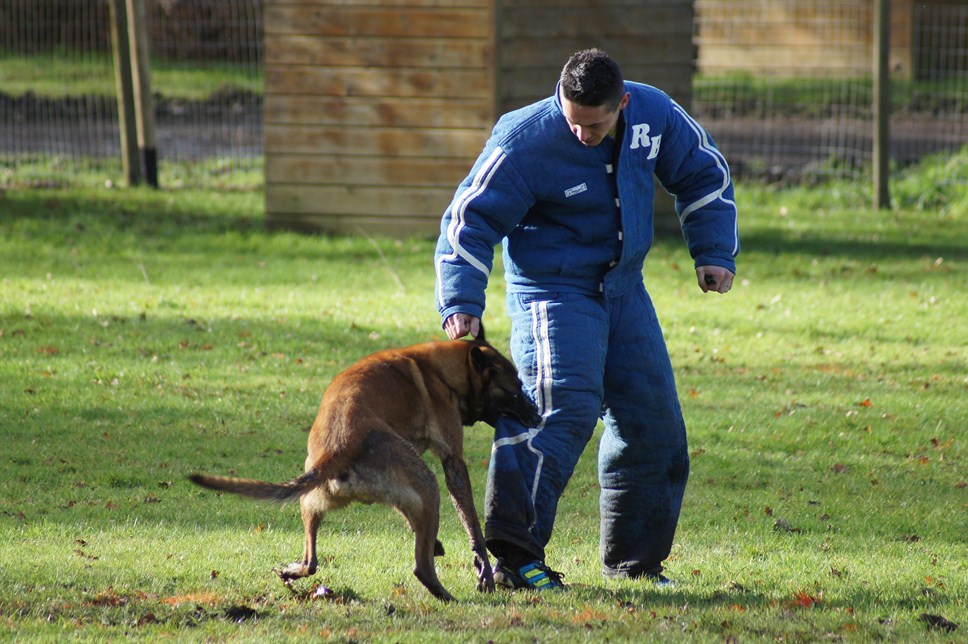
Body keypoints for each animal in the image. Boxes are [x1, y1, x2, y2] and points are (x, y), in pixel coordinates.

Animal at [189, 328, 536, 604]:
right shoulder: (452, 461)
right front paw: (483, 570)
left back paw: (291, 572)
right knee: (421, 566)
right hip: (427, 484)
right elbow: (472, 523)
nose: (537, 415)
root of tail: (340, 445)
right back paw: (448, 596)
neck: (442, 371)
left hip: (311, 502)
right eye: (514, 389)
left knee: (311, 561)